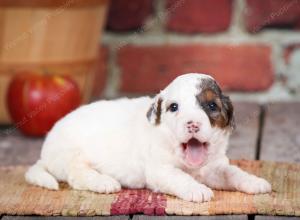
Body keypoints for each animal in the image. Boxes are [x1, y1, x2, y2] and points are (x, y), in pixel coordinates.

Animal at [25, 73, 272, 202]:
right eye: (174, 107)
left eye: (212, 106)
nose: (192, 124)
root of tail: (44, 154)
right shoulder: (160, 170)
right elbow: (180, 177)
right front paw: (197, 189)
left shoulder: (216, 166)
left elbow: (233, 172)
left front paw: (255, 181)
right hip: (71, 154)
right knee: (77, 175)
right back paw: (104, 182)